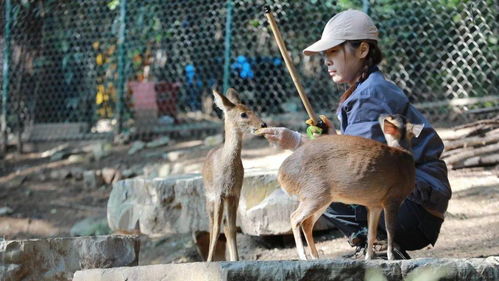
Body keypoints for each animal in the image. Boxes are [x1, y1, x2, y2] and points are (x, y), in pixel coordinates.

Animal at [202, 88, 268, 260]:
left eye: (251, 108)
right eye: (243, 114)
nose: (263, 124)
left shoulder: (235, 193)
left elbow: (231, 228)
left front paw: (236, 259)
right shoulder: (219, 194)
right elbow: (216, 228)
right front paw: (210, 261)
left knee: (226, 226)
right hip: (209, 198)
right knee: (211, 225)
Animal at [280, 115, 424, 260]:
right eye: (391, 117)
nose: (381, 115)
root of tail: (281, 174)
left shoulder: (375, 204)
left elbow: (372, 233)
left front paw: (368, 258)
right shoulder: (393, 197)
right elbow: (390, 229)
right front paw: (391, 257)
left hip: (321, 197)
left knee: (307, 223)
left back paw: (315, 257)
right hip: (314, 192)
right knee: (294, 217)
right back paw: (304, 257)